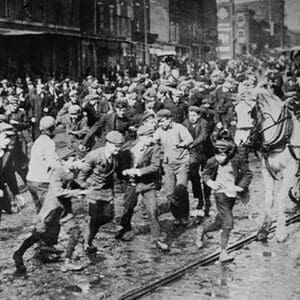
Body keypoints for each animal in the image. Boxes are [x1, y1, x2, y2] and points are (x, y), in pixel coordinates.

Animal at [234, 88, 300, 243]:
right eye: (235, 111)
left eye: (250, 111)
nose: (238, 140)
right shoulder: (266, 170)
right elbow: (269, 198)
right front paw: (263, 230)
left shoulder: (290, 169)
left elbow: (280, 197)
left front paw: (281, 232)